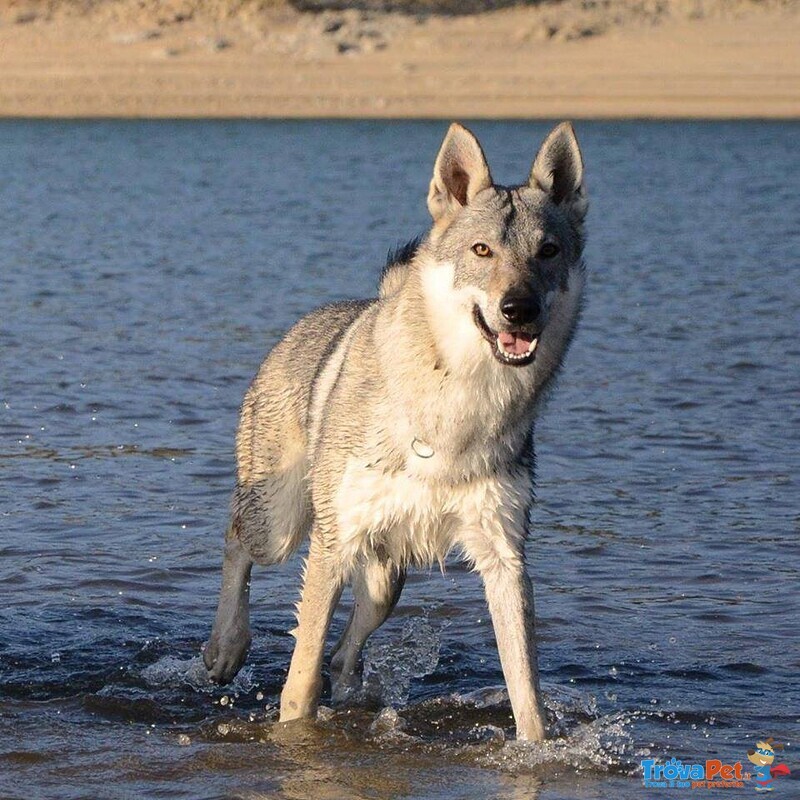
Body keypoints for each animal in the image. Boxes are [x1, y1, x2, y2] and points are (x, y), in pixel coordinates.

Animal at [203, 122, 584, 740]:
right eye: (482, 251)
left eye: (547, 252)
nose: (519, 309)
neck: (457, 405)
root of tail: (305, 323)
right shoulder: (332, 544)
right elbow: (299, 681)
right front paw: (293, 735)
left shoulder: (504, 557)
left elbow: (526, 691)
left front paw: (537, 748)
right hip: (282, 526)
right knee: (235, 540)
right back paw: (226, 648)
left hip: (387, 575)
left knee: (348, 643)